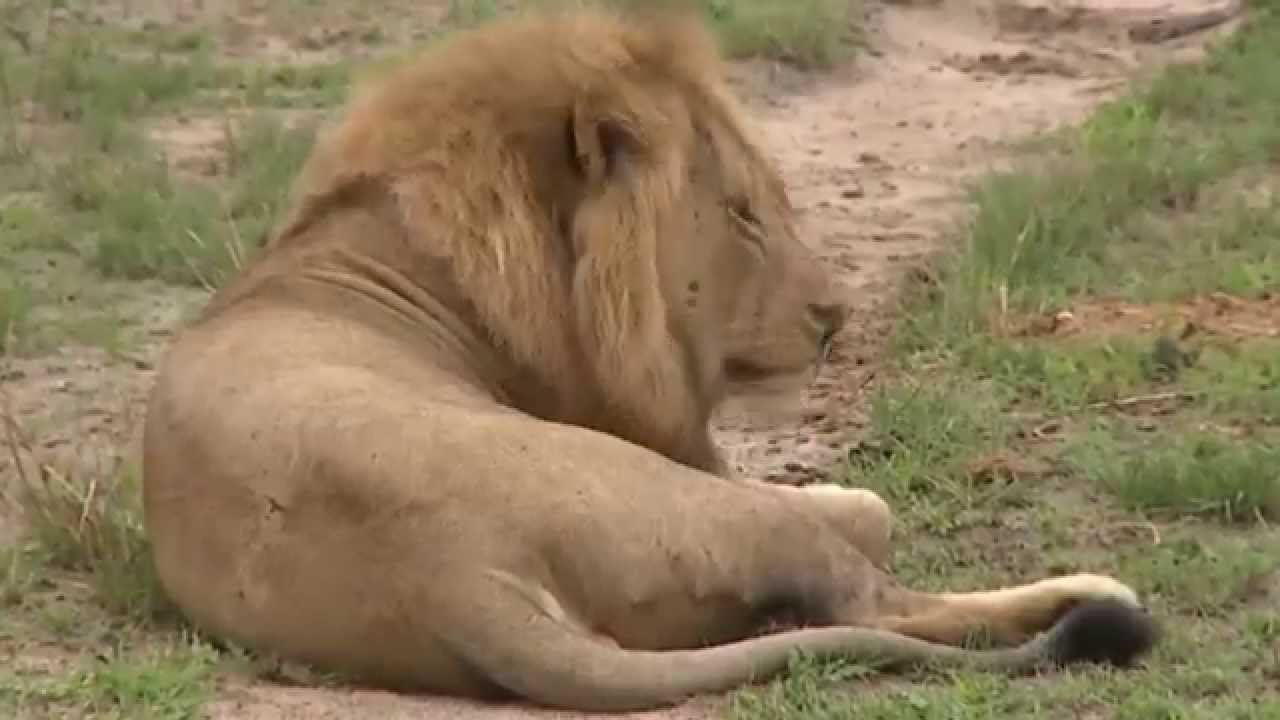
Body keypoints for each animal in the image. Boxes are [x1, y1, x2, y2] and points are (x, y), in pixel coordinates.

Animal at [141, 7, 1158, 712]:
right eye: (743, 214)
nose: (838, 317)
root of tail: (454, 576)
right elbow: (873, 505)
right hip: (691, 506)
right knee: (874, 600)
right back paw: (1101, 594)